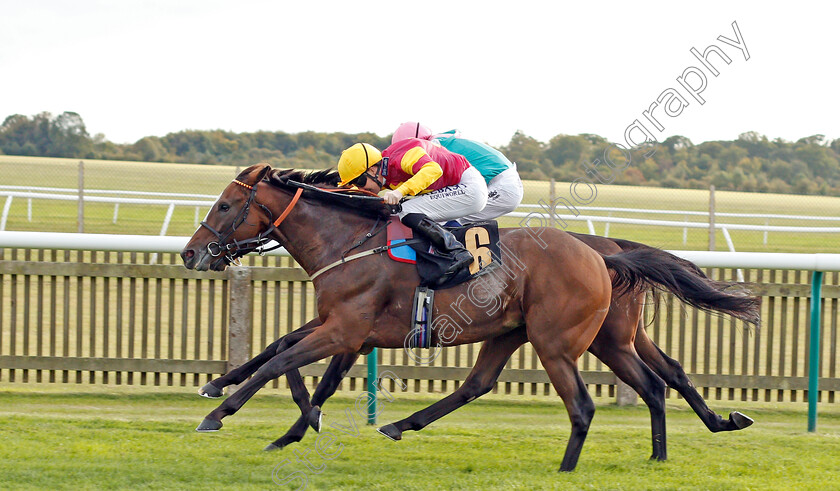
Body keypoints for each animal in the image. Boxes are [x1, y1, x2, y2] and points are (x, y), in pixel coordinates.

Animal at [184, 165, 760, 472]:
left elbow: (278, 363)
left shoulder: (346, 331)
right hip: (558, 335)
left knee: (591, 401)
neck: (348, 241)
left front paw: (220, 413)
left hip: (563, 342)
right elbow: (282, 352)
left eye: (224, 205)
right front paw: (277, 423)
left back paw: (570, 467)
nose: (192, 253)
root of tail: (602, 256)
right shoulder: (344, 331)